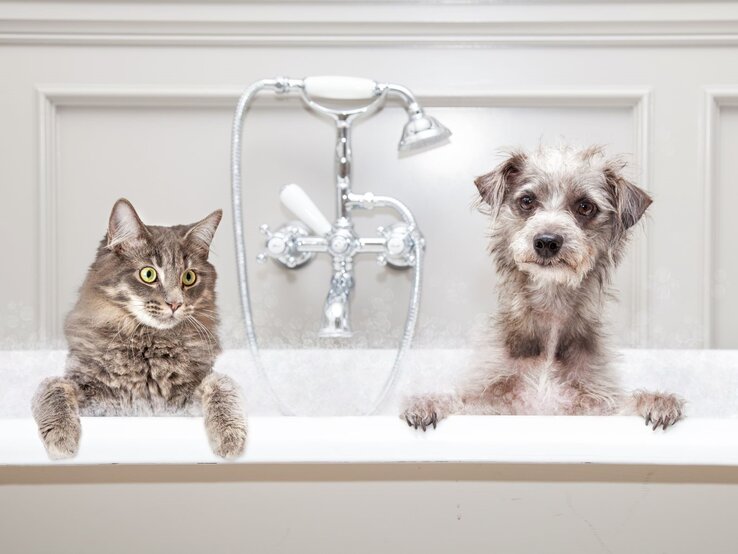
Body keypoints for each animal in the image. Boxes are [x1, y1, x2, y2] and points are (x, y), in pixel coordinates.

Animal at [31, 198, 246, 458]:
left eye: (189, 277)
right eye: (149, 274)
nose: (175, 304)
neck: (148, 344)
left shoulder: (183, 399)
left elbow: (222, 385)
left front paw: (230, 436)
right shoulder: (93, 397)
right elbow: (54, 387)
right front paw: (62, 437)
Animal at [402, 144, 684, 430]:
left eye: (585, 206)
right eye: (527, 201)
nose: (547, 241)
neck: (550, 312)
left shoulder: (594, 406)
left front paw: (656, 401)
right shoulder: (489, 403)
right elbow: (461, 402)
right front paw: (427, 402)